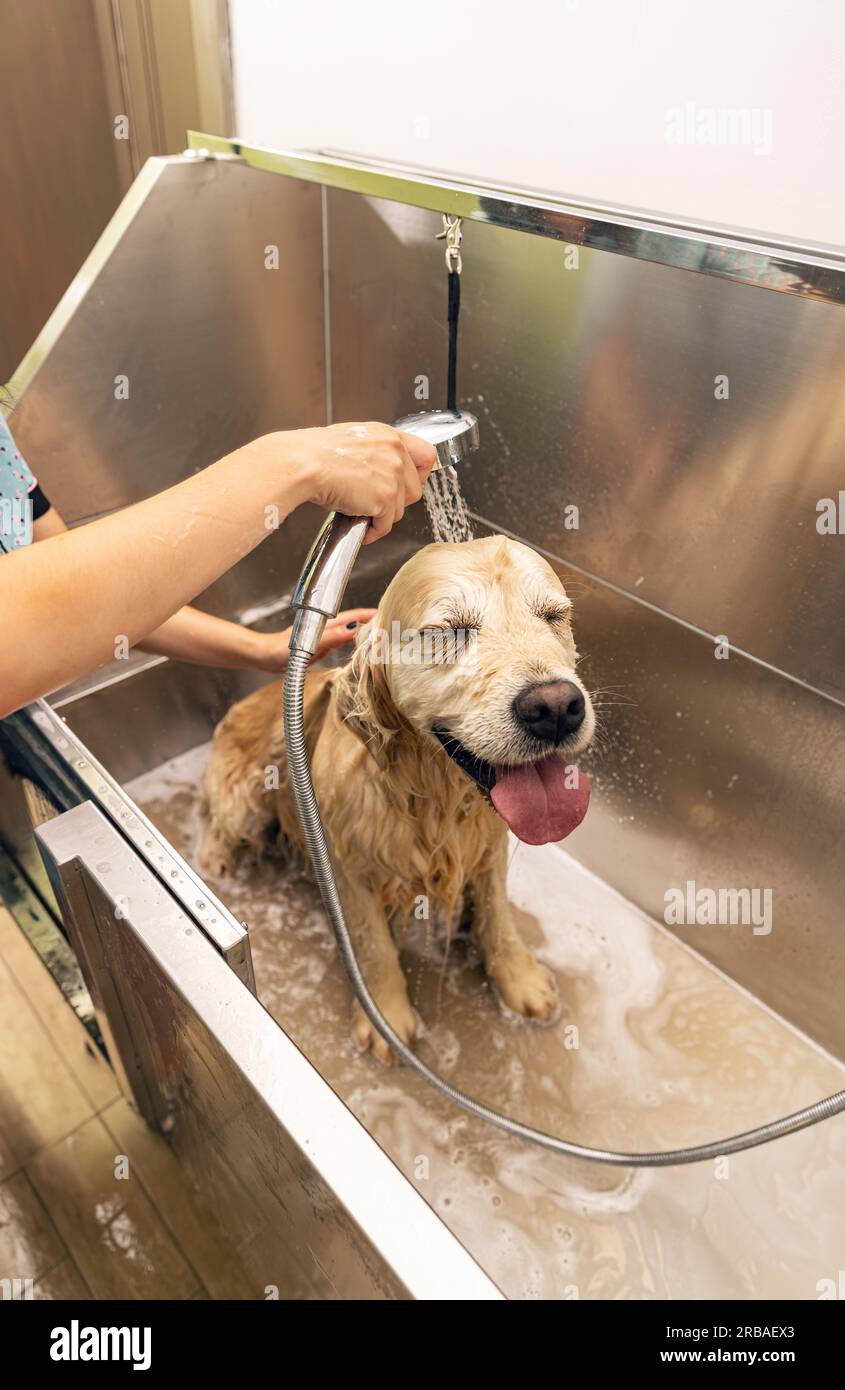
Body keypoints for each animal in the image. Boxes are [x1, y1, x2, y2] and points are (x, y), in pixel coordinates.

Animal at [197, 536, 594, 1056]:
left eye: (553, 615)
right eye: (449, 631)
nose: (555, 708)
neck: (430, 795)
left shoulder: (489, 844)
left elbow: (496, 914)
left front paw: (519, 977)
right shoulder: (348, 866)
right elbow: (375, 944)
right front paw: (386, 1015)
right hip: (243, 798)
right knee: (216, 821)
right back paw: (216, 863)